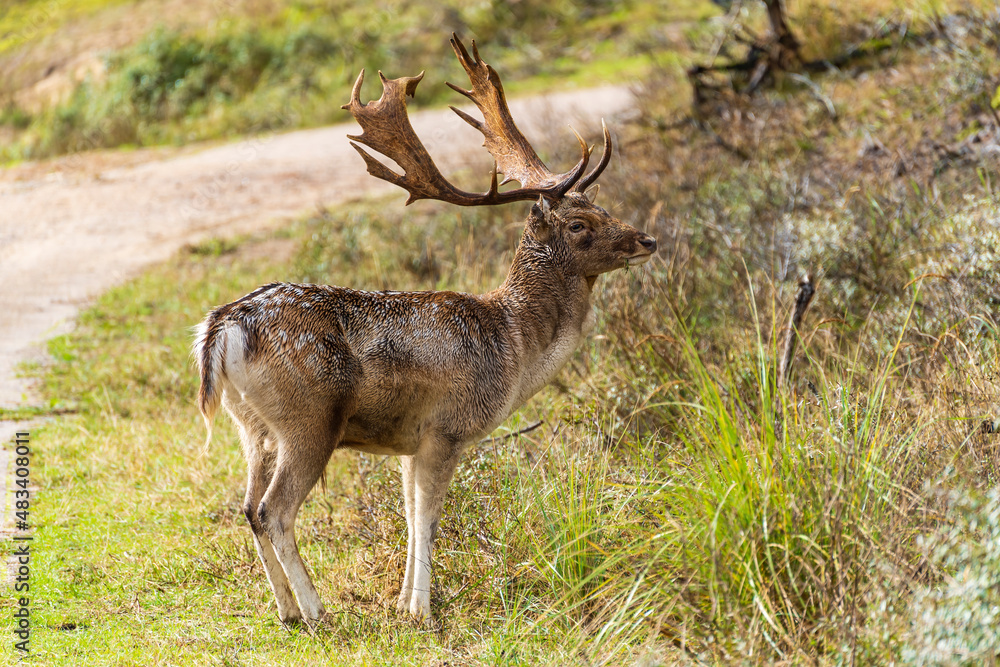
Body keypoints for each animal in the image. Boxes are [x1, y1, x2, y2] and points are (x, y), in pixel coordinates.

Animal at [194, 34, 656, 627]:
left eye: (601, 205)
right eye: (579, 224)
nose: (646, 240)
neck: (514, 347)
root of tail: (223, 326)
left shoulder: (410, 441)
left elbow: (411, 515)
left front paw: (403, 604)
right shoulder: (448, 427)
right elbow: (430, 518)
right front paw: (422, 612)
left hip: (252, 426)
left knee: (248, 507)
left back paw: (287, 611)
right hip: (309, 419)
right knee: (274, 510)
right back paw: (317, 610)